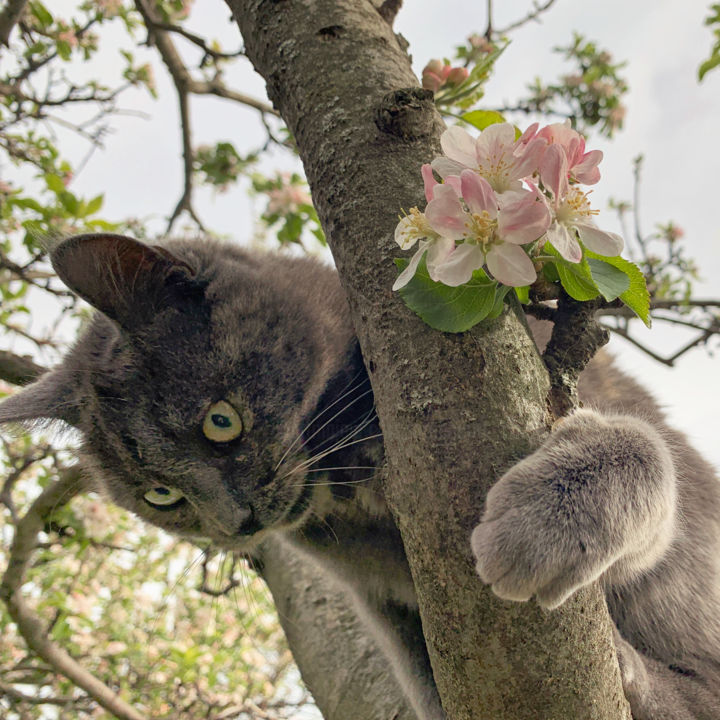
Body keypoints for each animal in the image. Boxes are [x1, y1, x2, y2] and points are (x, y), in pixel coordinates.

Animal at [1, 233, 720, 716]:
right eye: (162, 495)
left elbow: (636, 453)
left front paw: (544, 522)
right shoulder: (385, 601)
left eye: (220, 422)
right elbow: (426, 673)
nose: (234, 523)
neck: (349, 487)